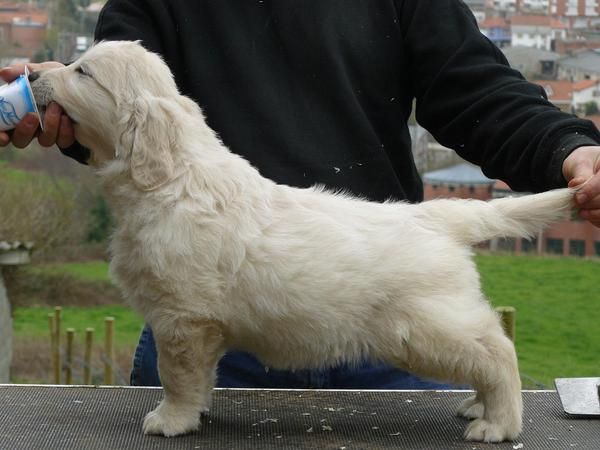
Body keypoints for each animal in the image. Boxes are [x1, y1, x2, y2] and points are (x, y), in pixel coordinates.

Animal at [30, 42, 576, 442]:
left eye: (82, 72)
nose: (33, 75)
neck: (171, 179)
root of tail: (437, 217)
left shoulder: (183, 316)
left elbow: (177, 373)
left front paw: (172, 419)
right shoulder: (194, 322)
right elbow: (198, 375)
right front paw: (194, 412)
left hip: (423, 325)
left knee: (496, 350)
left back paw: (497, 423)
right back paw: (477, 406)